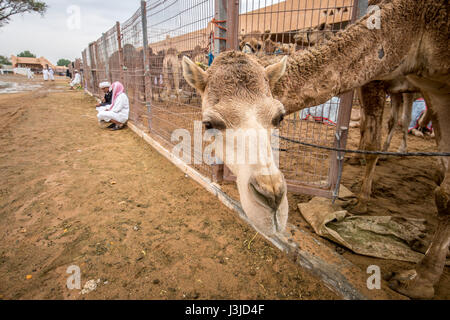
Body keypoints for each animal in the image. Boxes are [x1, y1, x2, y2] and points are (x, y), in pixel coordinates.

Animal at [183, 0, 450, 298]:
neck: (416, 28)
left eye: (279, 117)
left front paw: (417, 280)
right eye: (208, 124)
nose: (272, 202)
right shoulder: (432, 87)